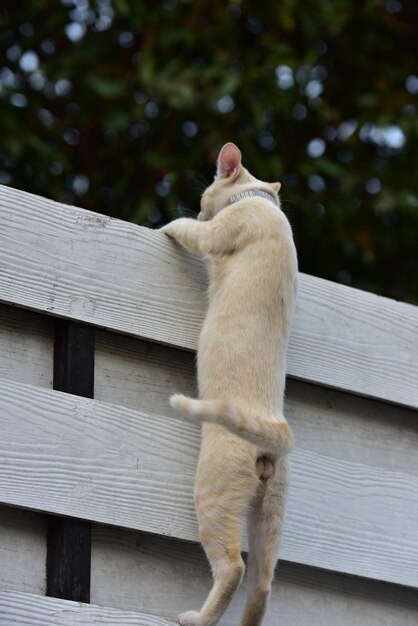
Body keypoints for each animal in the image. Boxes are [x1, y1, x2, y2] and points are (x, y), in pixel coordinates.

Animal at [162, 143, 298, 624]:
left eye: (205, 195)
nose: (202, 210)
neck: (263, 203)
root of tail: (275, 427)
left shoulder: (216, 235)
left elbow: (187, 231)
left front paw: (167, 224)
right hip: (271, 513)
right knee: (262, 584)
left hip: (213, 493)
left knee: (233, 567)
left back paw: (195, 619)